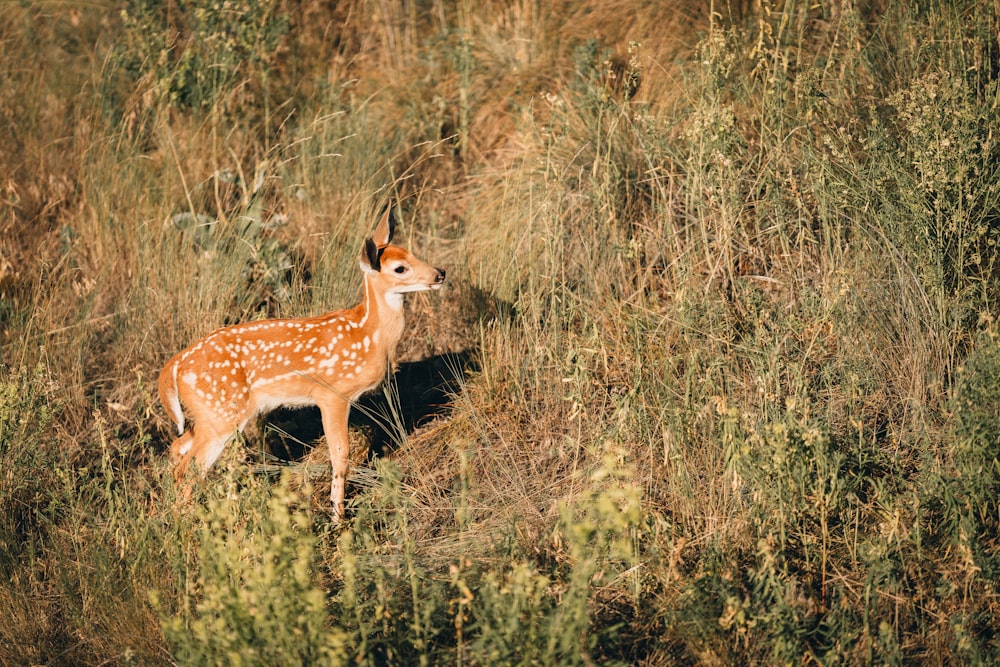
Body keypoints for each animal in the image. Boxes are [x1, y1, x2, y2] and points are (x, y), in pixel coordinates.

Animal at [157, 209, 446, 520]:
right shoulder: (332, 394)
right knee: (189, 469)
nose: (440, 273)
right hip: (222, 412)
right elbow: (340, 453)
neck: (369, 335)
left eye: (412, 252)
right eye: (400, 269)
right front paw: (338, 516)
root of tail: (174, 366)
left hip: (207, 415)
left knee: (177, 448)